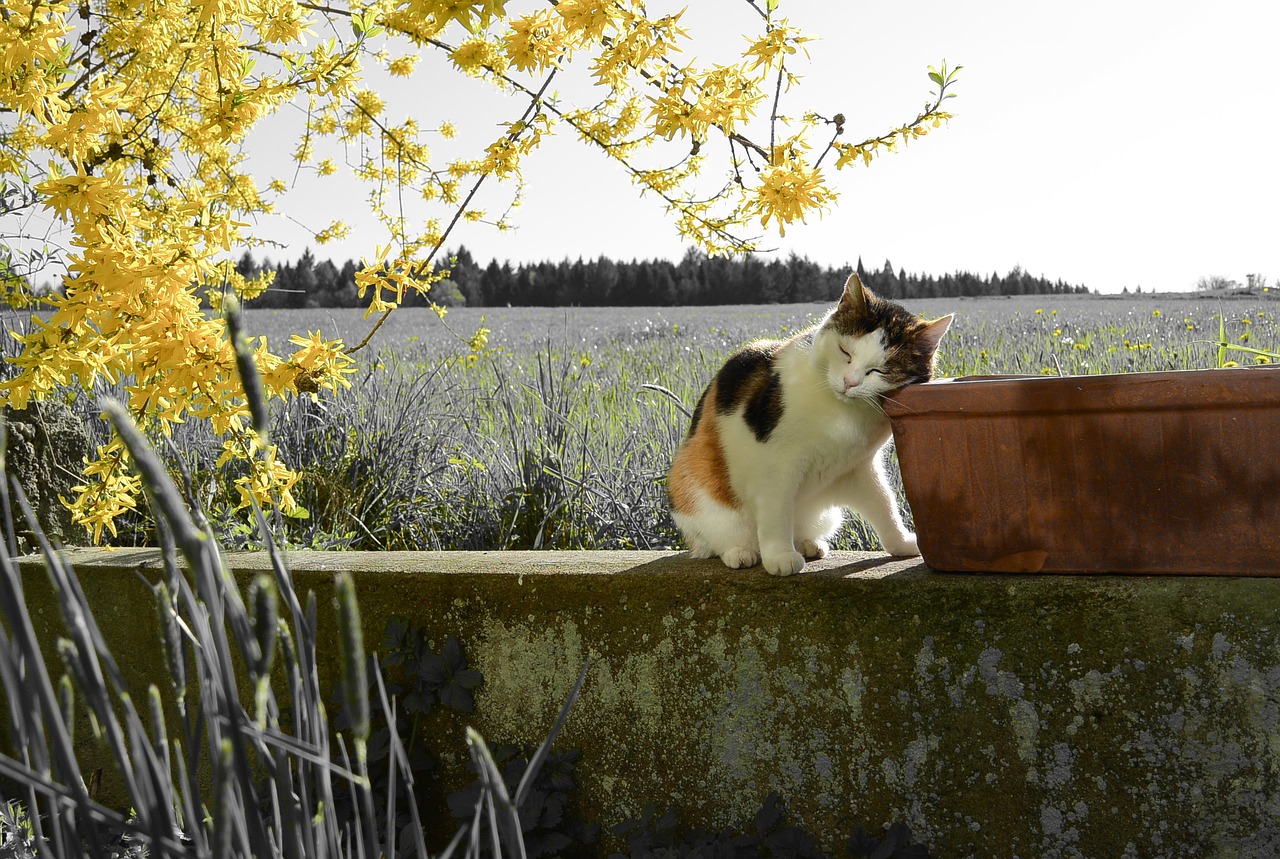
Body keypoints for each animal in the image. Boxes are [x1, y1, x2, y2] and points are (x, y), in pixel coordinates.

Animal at [670, 275, 952, 578]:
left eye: (880, 370)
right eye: (845, 351)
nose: (849, 382)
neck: (840, 414)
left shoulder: (860, 467)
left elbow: (884, 504)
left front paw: (901, 543)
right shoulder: (776, 465)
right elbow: (776, 513)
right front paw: (780, 556)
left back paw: (806, 543)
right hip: (702, 495)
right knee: (717, 539)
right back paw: (741, 552)